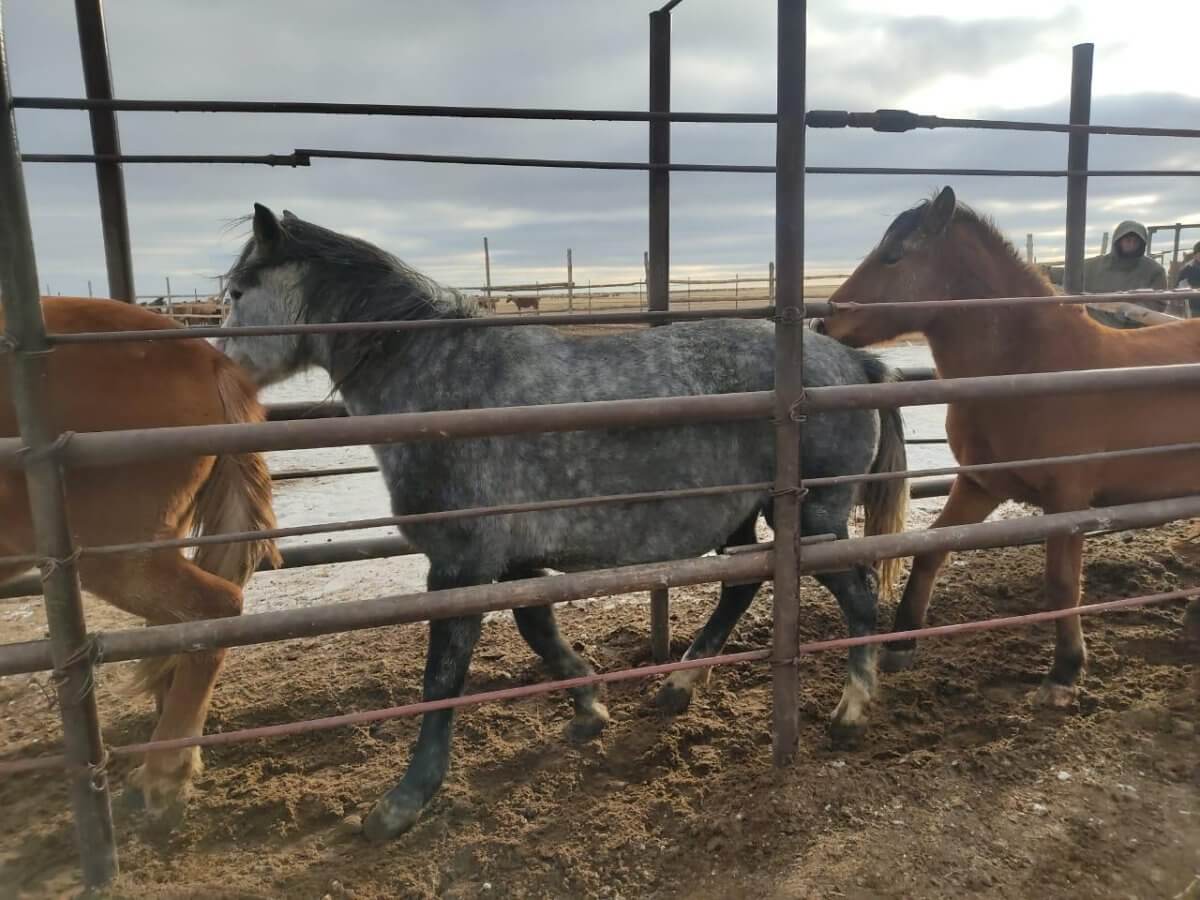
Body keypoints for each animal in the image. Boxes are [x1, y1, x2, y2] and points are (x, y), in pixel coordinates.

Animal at [816, 187, 1200, 710]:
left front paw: (1064, 671)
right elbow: (931, 550)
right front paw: (901, 643)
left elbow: (1062, 583)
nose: (823, 323)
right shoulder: (979, 485)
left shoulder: (1067, 503)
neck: (1030, 368)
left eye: (893, 255)